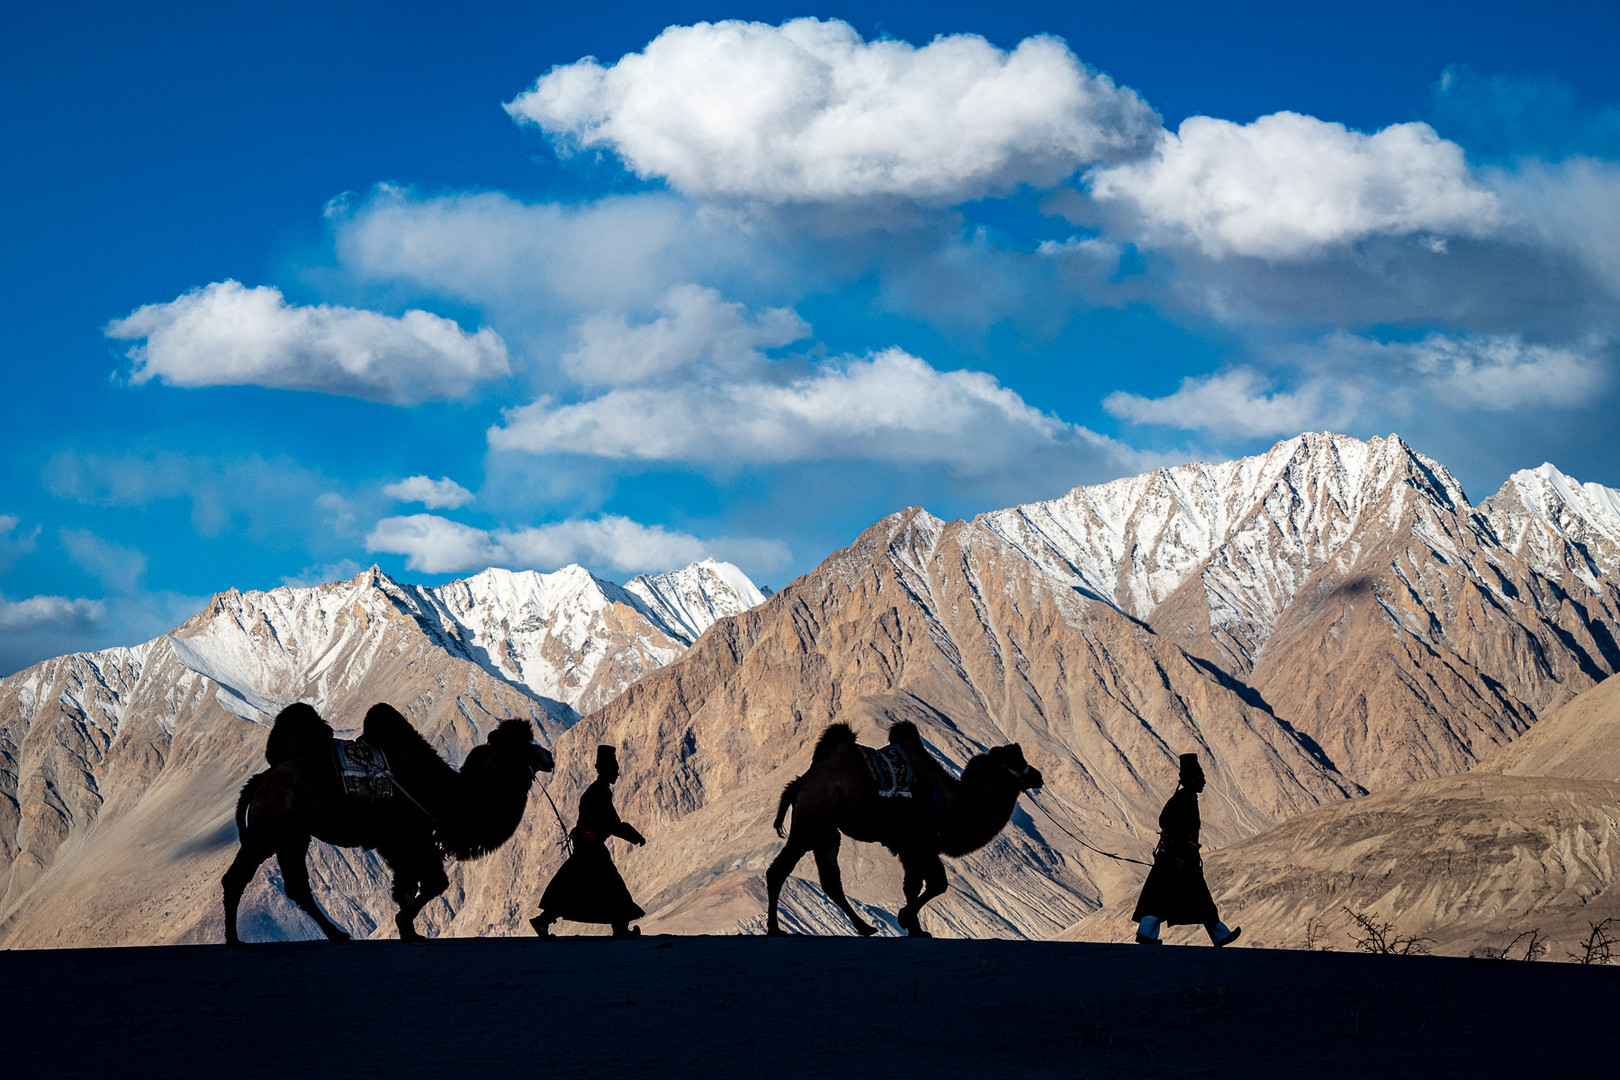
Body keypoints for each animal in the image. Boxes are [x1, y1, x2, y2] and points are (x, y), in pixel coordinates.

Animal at [221, 702, 554, 945]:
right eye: (524, 745)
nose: (549, 756)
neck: (451, 796)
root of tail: (259, 781)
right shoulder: (410, 837)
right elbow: (434, 883)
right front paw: (406, 926)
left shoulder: (401, 845)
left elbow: (408, 888)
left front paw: (409, 931)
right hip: (269, 831)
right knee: (238, 879)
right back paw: (235, 940)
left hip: (292, 836)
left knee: (296, 887)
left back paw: (336, 934)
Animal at [764, 725, 1043, 939]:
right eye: (1016, 759)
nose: (1038, 776)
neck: (953, 804)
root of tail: (799, 783)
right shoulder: (919, 844)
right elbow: (936, 884)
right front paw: (906, 920)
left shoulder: (910, 849)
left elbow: (913, 887)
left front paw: (915, 928)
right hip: (809, 823)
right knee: (778, 870)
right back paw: (775, 929)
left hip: (827, 832)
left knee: (831, 880)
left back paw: (865, 928)